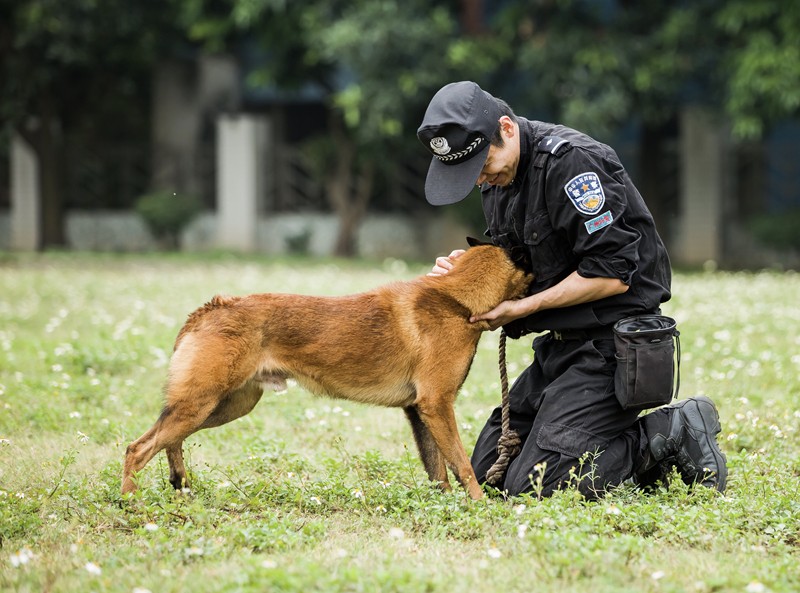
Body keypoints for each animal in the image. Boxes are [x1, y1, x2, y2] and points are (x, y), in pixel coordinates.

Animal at [123, 242, 532, 500]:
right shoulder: (437, 406)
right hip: (202, 404)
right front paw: (479, 505)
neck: (455, 298)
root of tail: (211, 308)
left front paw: (443, 506)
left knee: (169, 440)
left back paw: (180, 487)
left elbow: (438, 470)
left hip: (222, 406)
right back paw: (131, 502)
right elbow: (462, 465)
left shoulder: (421, 411)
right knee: (137, 448)